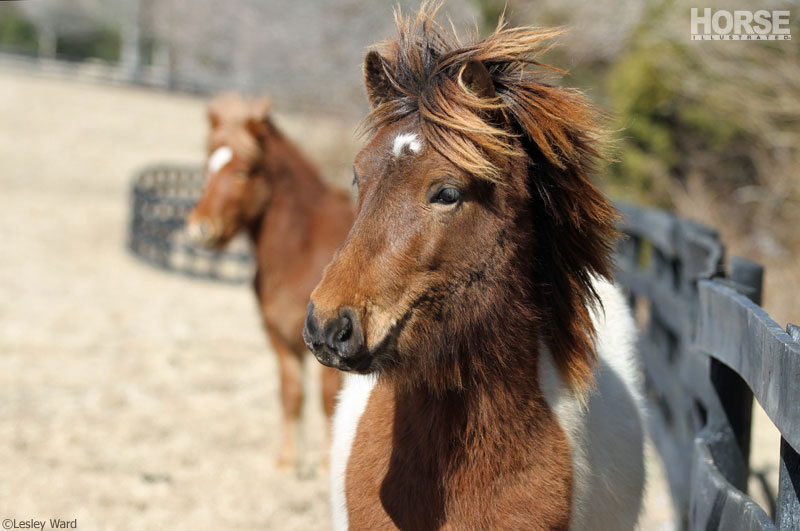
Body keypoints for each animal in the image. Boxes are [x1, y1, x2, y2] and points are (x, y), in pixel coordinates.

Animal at [188, 93, 354, 468]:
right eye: (208, 167)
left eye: (243, 172)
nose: (201, 228)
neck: (304, 252)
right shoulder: (279, 336)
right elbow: (291, 394)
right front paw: (287, 463)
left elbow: (327, 400)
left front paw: (326, 465)